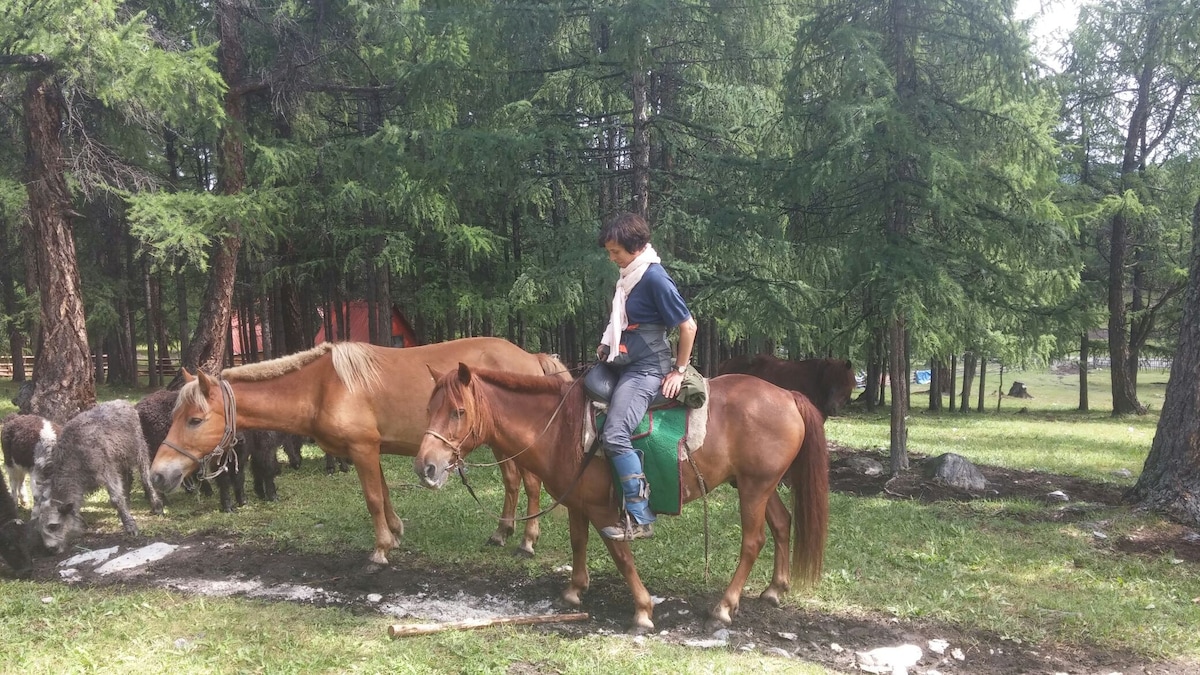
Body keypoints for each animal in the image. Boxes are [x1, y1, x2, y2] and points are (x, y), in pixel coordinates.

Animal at [148, 336, 571, 562]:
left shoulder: (361, 449)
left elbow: (372, 498)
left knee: (529, 486)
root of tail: (532, 357)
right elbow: (384, 494)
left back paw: (527, 541)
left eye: (195, 419)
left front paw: (381, 548)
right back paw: (502, 533)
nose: (158, 474)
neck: (323, 386)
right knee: (514, 484)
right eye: (176, 415)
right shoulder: (372, 450)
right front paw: (396, 533)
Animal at [412, 362, 825, 629]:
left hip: (754, 488)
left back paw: (724, 607)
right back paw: (774, 589)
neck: (559, 429)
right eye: (429, 408)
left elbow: (621, 556)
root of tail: (787, 395)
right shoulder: (577, 502)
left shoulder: (602, 509)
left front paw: (642, 610)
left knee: (753, 541)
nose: (425, 467)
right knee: (782, 524)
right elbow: (578, 543)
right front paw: (574, 591)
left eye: (458, 412)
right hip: (756, 485)